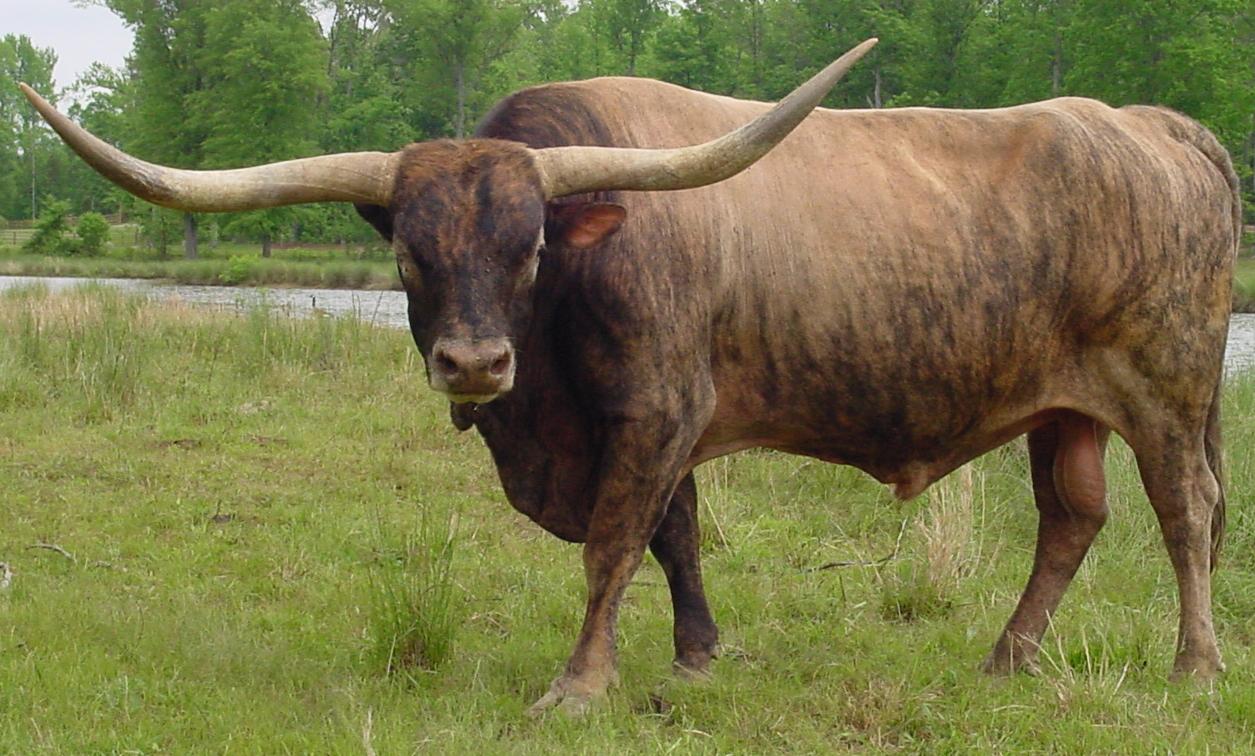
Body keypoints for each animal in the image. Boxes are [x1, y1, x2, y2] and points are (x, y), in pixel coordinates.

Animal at [22, 35, 1242, 715]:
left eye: (530, 247)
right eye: (410, 253)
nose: (473, 362)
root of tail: (1151, 124)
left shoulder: (655, 407)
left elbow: (615, 542)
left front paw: (579, 684)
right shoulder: (658, 422)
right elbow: (676, 535)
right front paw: (697, 656)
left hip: (1166, 387)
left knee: (1184, 511)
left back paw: (1193, 668)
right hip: (1061, 406)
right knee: (1070, 519)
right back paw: (1005, 658)